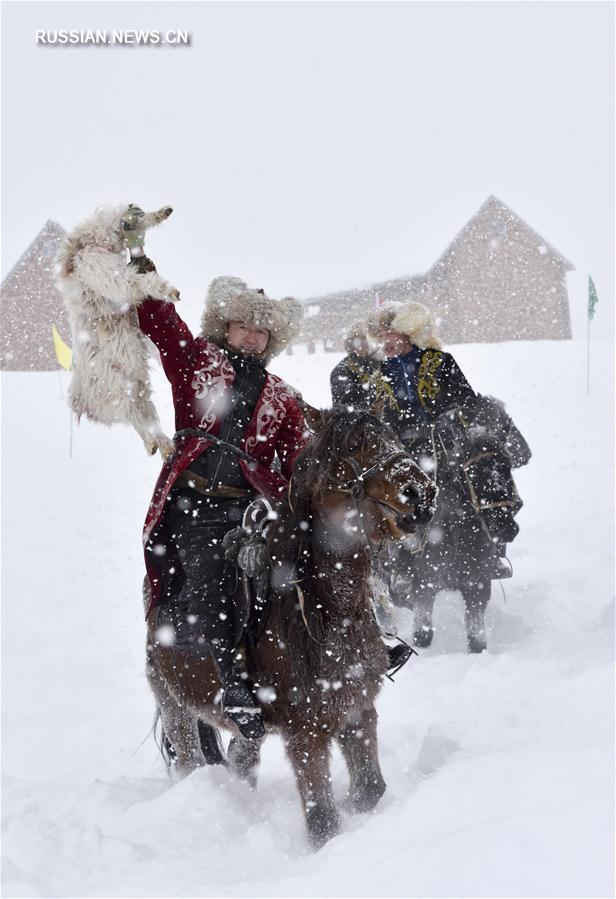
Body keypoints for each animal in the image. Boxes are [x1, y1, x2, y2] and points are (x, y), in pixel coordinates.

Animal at [145, 404, 436, 848]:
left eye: (391, 435)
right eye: (354, 445)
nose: (421, 493)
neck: (323, 614)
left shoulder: (357, 710)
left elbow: (371, 789)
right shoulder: (306, 734)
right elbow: (323, 823)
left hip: (246, 728)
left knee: (241, 760)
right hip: (173, 702)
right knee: (190, 758)